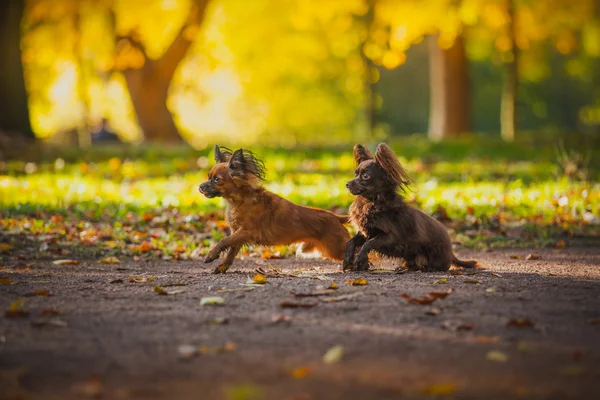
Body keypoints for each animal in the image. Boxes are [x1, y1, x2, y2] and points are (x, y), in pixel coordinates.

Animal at [342, 143, 478, 272]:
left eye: (366, 176)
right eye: (355, 174)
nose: (347, 184)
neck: (371, 202)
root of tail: (451, 253)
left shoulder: (389, 237)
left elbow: (368, 244)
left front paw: (359, 260)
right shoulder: (366, 232)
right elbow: (351, 241)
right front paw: (347, 259)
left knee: (441, 266)